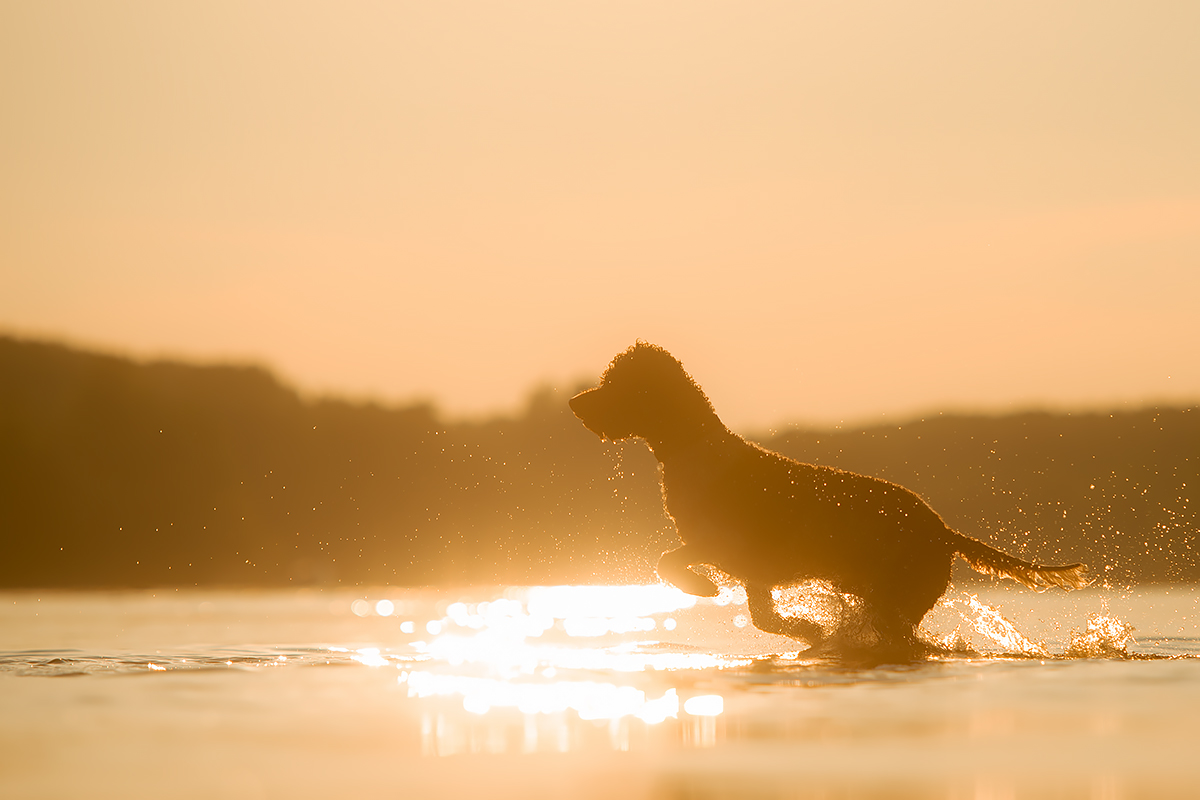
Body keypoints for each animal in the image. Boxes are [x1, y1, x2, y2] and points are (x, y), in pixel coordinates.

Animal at [571, 343, 1089, 652]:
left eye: (615, 384)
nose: (575, 403)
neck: (690, 447)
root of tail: (942, 529)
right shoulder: (755, 574)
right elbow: (763, 618)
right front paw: (808, 631)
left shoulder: (724, 546)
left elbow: (667, 561)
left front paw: (703, 588)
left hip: (896, 598)